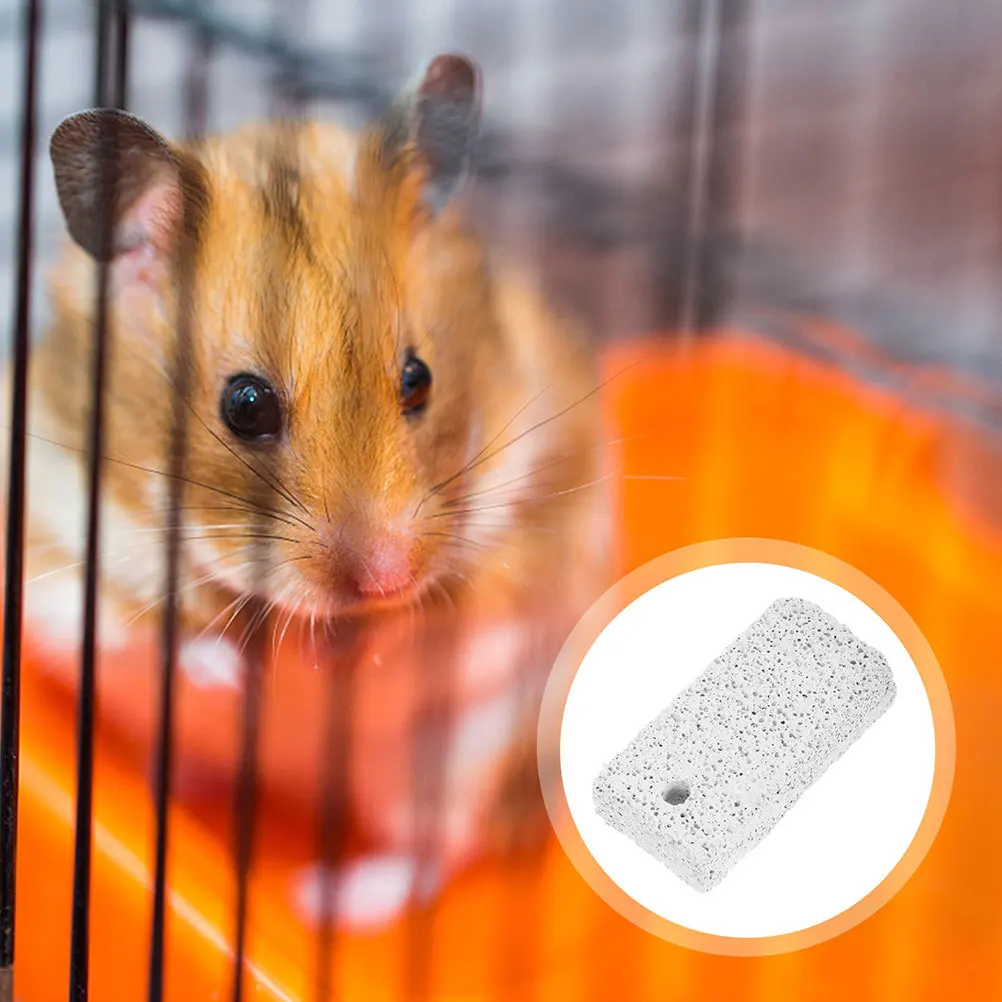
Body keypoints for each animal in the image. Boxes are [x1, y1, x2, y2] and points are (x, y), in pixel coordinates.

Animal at [14, 55, 612, 923]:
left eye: (419, 377)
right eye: (245, 405)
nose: (388, 580)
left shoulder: (528, 539)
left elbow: (447, 619)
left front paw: (346, 655)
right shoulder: (56, 541)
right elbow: (152, 627)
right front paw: (246, 674)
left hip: (453, 764)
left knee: (434, 852)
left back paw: (326, 900)